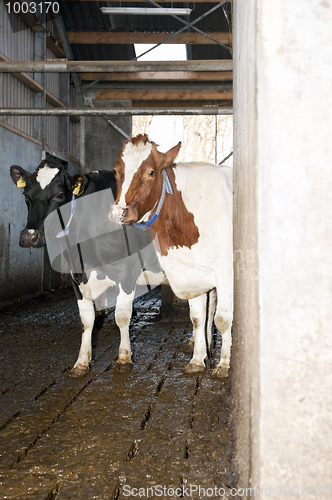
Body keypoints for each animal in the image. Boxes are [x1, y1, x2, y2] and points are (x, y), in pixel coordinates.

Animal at [109, 135, 233, 376]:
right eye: (116, 171)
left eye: (151, 172)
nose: (119, 212)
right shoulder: (191, 271)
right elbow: (198, 317)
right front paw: (197, 359)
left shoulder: (227, 272)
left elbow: (223, 318)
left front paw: (223, 365)